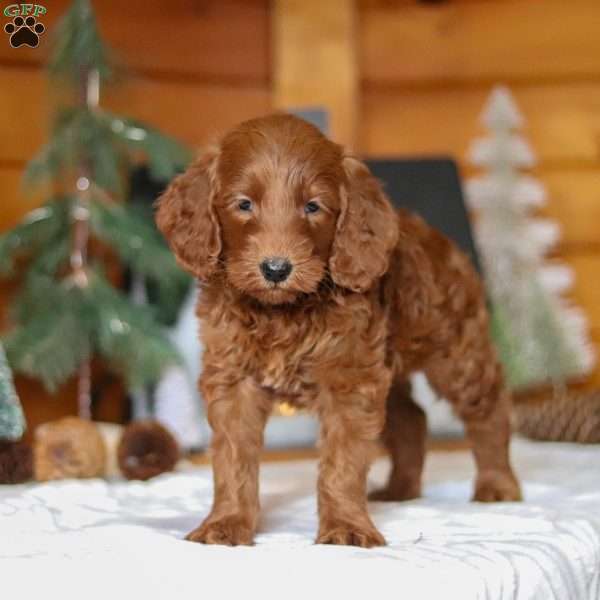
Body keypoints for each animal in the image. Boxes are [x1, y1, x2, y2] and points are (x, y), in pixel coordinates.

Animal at [157, 113, 524, 548]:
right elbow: (233, 459)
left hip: (456, 352)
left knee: (489, 407)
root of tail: (443, 242)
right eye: (243, 204)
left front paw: (346, 527)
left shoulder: (348, 380)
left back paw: (497, 485)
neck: (284, 312)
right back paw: (401, 490)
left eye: (313, 206)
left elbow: (343, 462)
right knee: (412, 418)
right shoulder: (235, 380)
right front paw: (226, 523)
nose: (276, 269)